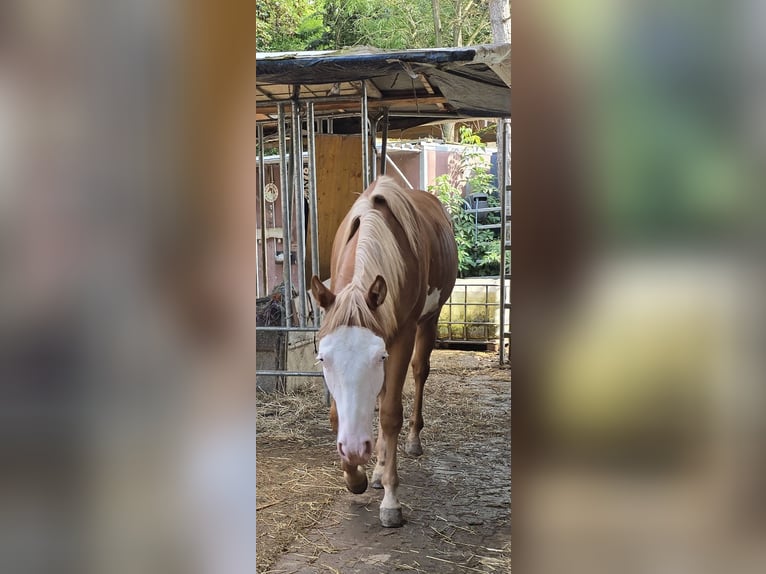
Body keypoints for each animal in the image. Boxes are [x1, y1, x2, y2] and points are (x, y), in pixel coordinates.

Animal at [310, 175, 458, 528]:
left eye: (378, 357)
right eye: (323, 358)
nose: (353, 447)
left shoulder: (401, 337)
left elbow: (390, 414)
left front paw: (391, 500)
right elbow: (337, 414)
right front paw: (356, 476)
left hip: (430, 319)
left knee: (419, 373)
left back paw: (412, 441)